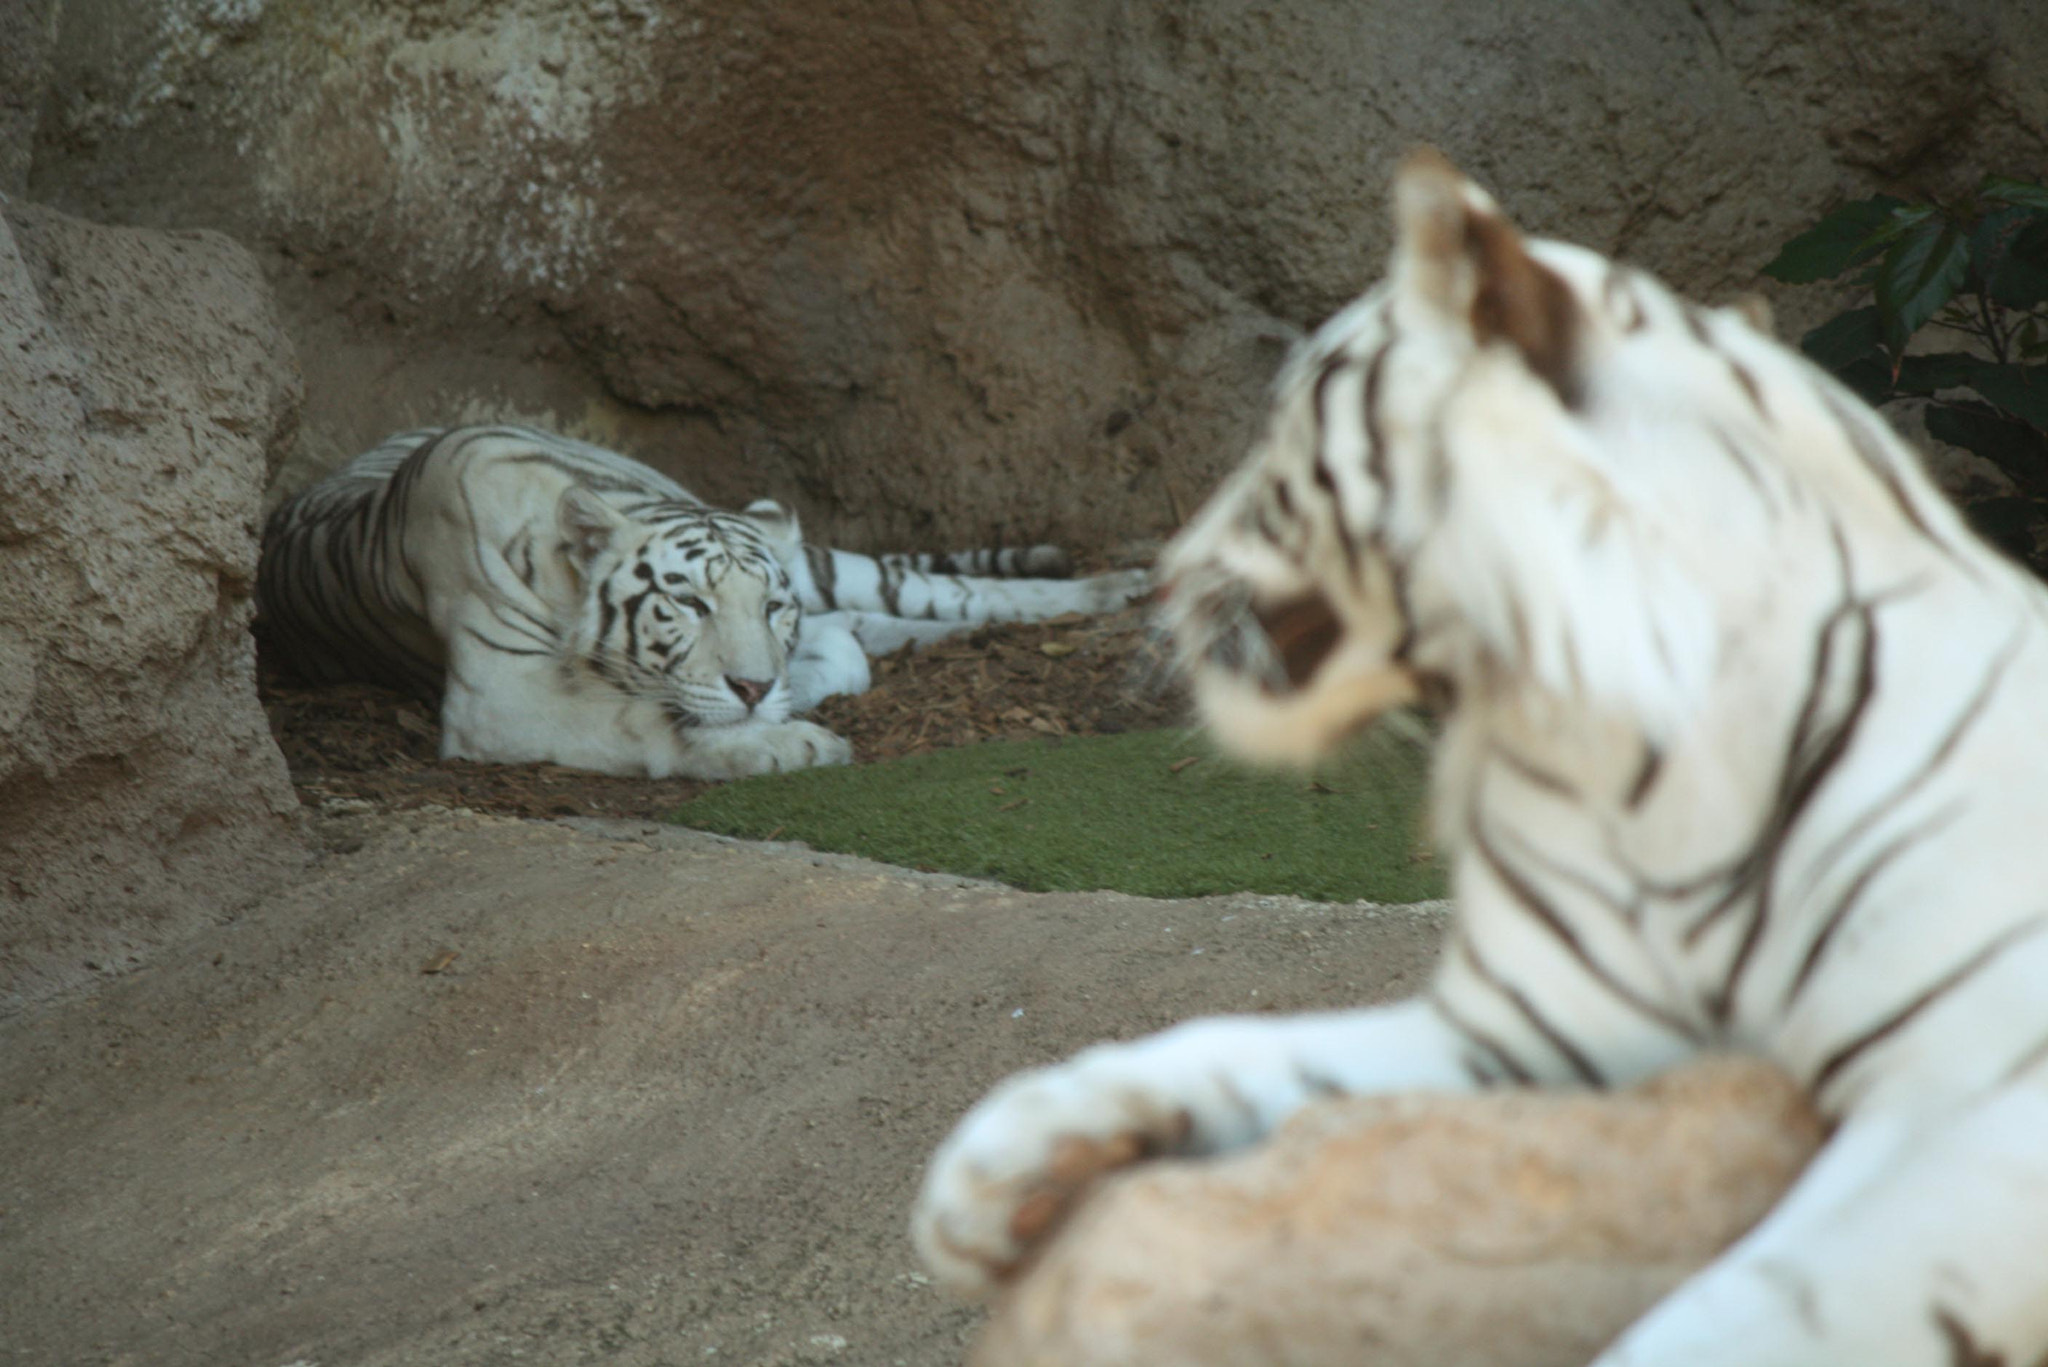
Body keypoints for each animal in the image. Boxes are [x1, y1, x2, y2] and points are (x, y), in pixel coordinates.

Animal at [257, 424, 1147, 779]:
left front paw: (785, 714)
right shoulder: (501, 696)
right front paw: (794, 741)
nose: (755, 683)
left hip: (818, 558)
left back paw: (1123, 583)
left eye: (770, 605)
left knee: (925, 589)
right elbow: (645, 719)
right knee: (865, 625)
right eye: (685, 601)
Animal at [912, 149, 2048, 1366]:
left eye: (1279, 431)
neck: (1624, 757)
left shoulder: (1971, 1096)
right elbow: (1249, 1041)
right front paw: (992, 1170)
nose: (1159, 577)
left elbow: (1744, 1311)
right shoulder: (1534, 1033)